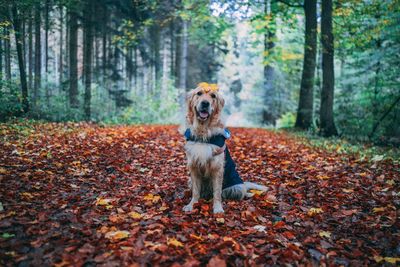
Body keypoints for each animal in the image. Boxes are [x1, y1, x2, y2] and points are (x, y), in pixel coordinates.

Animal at [183, 82, 268, 215]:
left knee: (239, 192)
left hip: (236, 187)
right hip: (190, 181)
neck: (203, 131)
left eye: (213, 96)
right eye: (199, 93)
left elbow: (217, 192)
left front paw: (218, 208)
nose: (205, 103)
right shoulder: (194, 166)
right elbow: (196, 191)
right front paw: (192, 204)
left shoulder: (217, 168)